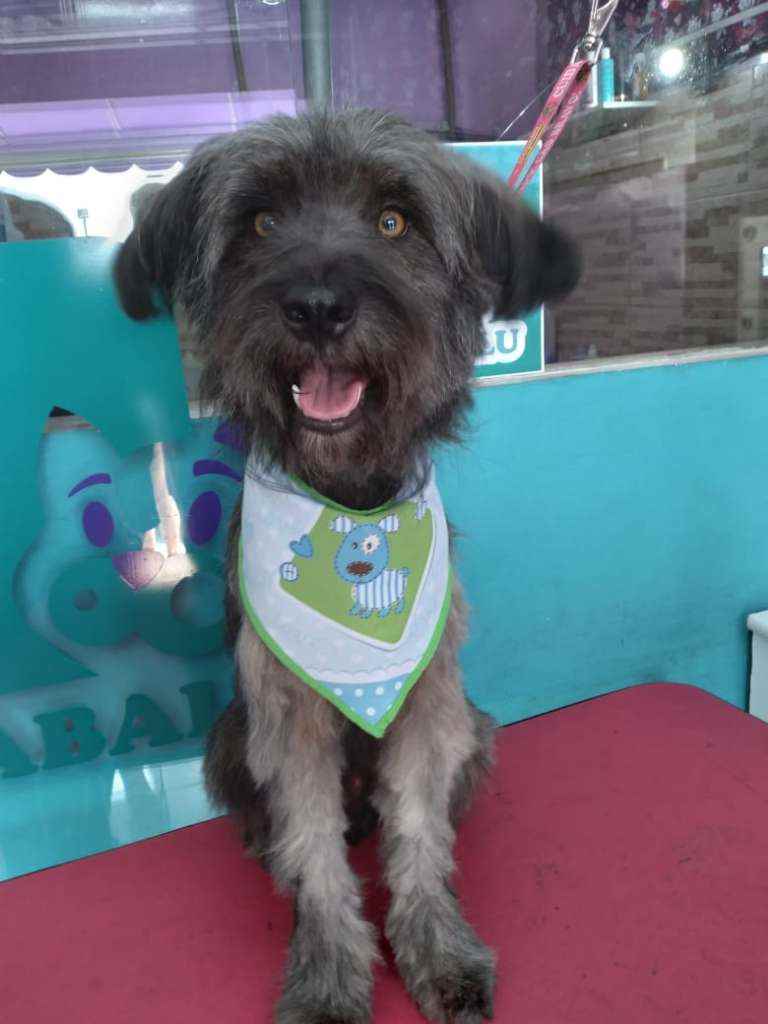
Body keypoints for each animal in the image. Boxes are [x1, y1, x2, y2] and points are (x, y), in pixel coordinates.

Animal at [114, 109, 579, 1024]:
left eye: (394, 221)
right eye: (261, 223)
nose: (318, 308)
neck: (349, 501)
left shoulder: (430, 701)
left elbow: (419, 831)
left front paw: (436, 945)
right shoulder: (285, 718)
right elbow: (314, 848)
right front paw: (329, 971)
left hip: (476, 726)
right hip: (228, 739)